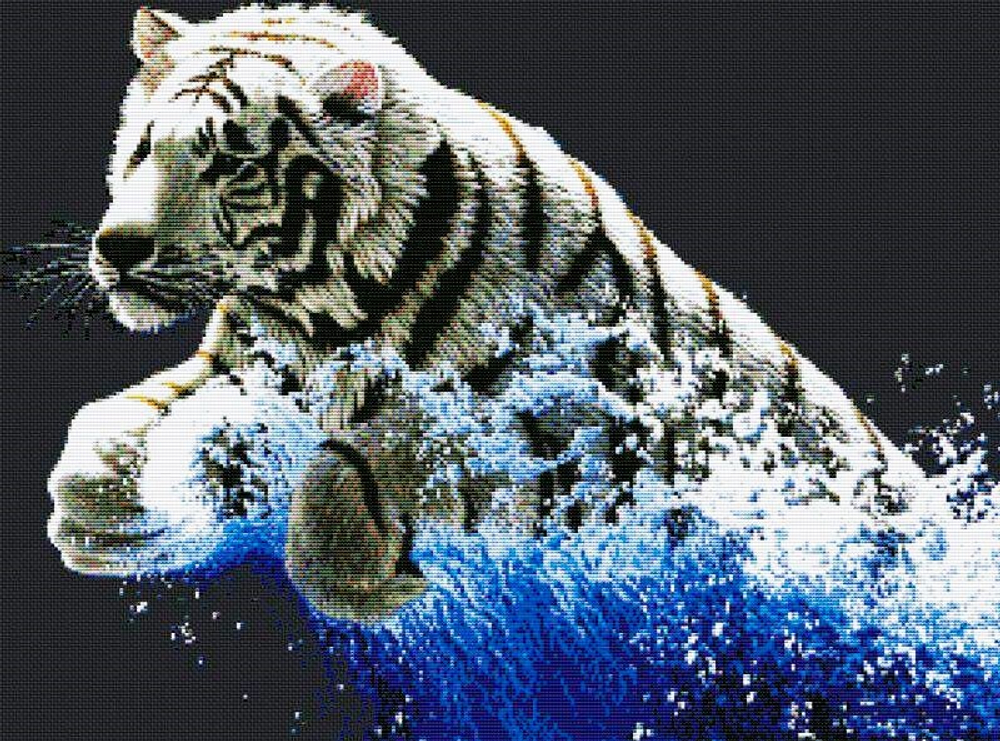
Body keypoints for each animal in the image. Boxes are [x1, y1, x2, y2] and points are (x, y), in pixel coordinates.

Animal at [46, 5, 925, 621]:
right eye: (143, 149)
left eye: (232, 164)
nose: (117, 248)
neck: (319, 309)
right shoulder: (246, 365)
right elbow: (124, 421)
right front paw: (101, 504)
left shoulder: (576, 437)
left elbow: (374, 461)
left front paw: (374, 580)